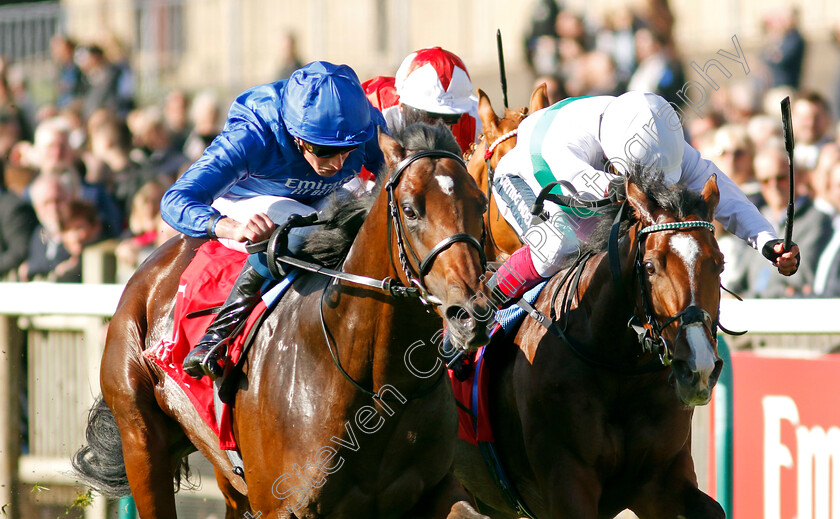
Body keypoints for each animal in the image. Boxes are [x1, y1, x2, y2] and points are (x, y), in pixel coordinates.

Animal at [74, 126, 492, 519]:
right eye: (410, 210)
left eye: (481, 203)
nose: (470, 314)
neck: (375, 383)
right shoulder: (282, 504)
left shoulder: (435, 490)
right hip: (141, 441)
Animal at [456, 172, 724, 519]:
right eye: (650, 267)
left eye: (719, 264)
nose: (698, 368)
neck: (619, 372)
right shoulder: (567, 481)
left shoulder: (660, 482)